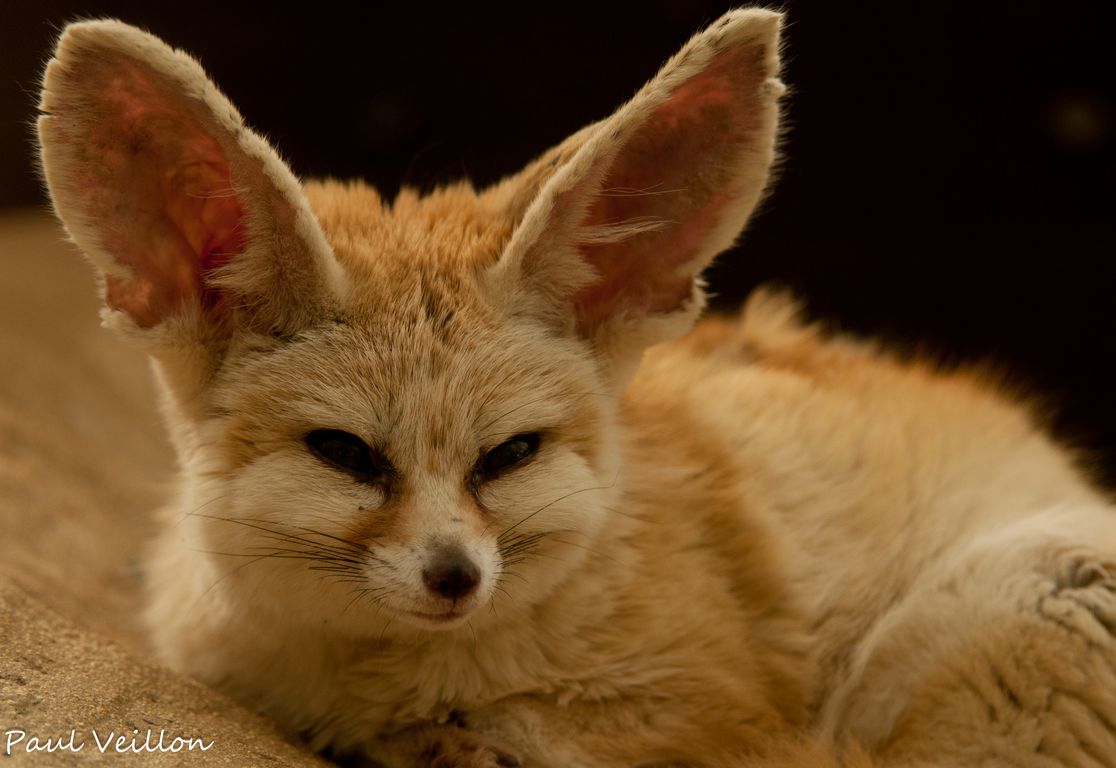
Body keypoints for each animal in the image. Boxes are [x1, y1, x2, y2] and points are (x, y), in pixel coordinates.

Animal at [34, 7, 1116, 768]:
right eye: (344, 454)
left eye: (510, 456)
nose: (455, 577)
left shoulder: (702, 707)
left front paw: (444, 741)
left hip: (1015, 591)